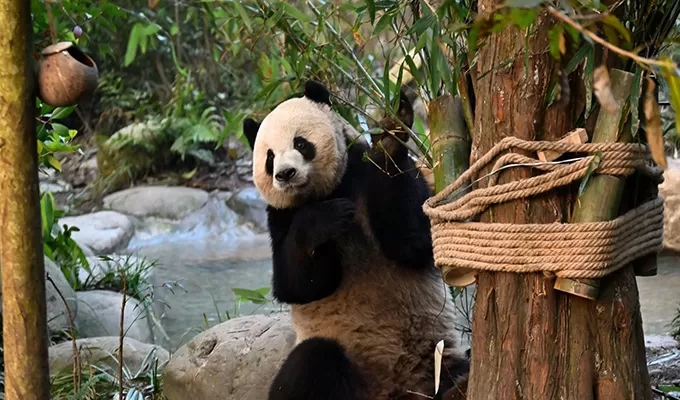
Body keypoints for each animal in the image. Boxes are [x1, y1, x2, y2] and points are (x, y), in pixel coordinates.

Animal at [242, 80, 469, 400]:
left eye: (300, 143)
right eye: (269, 157)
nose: (285, 174)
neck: (328, 190)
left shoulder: (364, 171)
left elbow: (413, 242)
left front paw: (389, 141)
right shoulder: (280, 217)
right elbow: (297, 285)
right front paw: (323, 218)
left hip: (436, 360)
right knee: (312, 359)